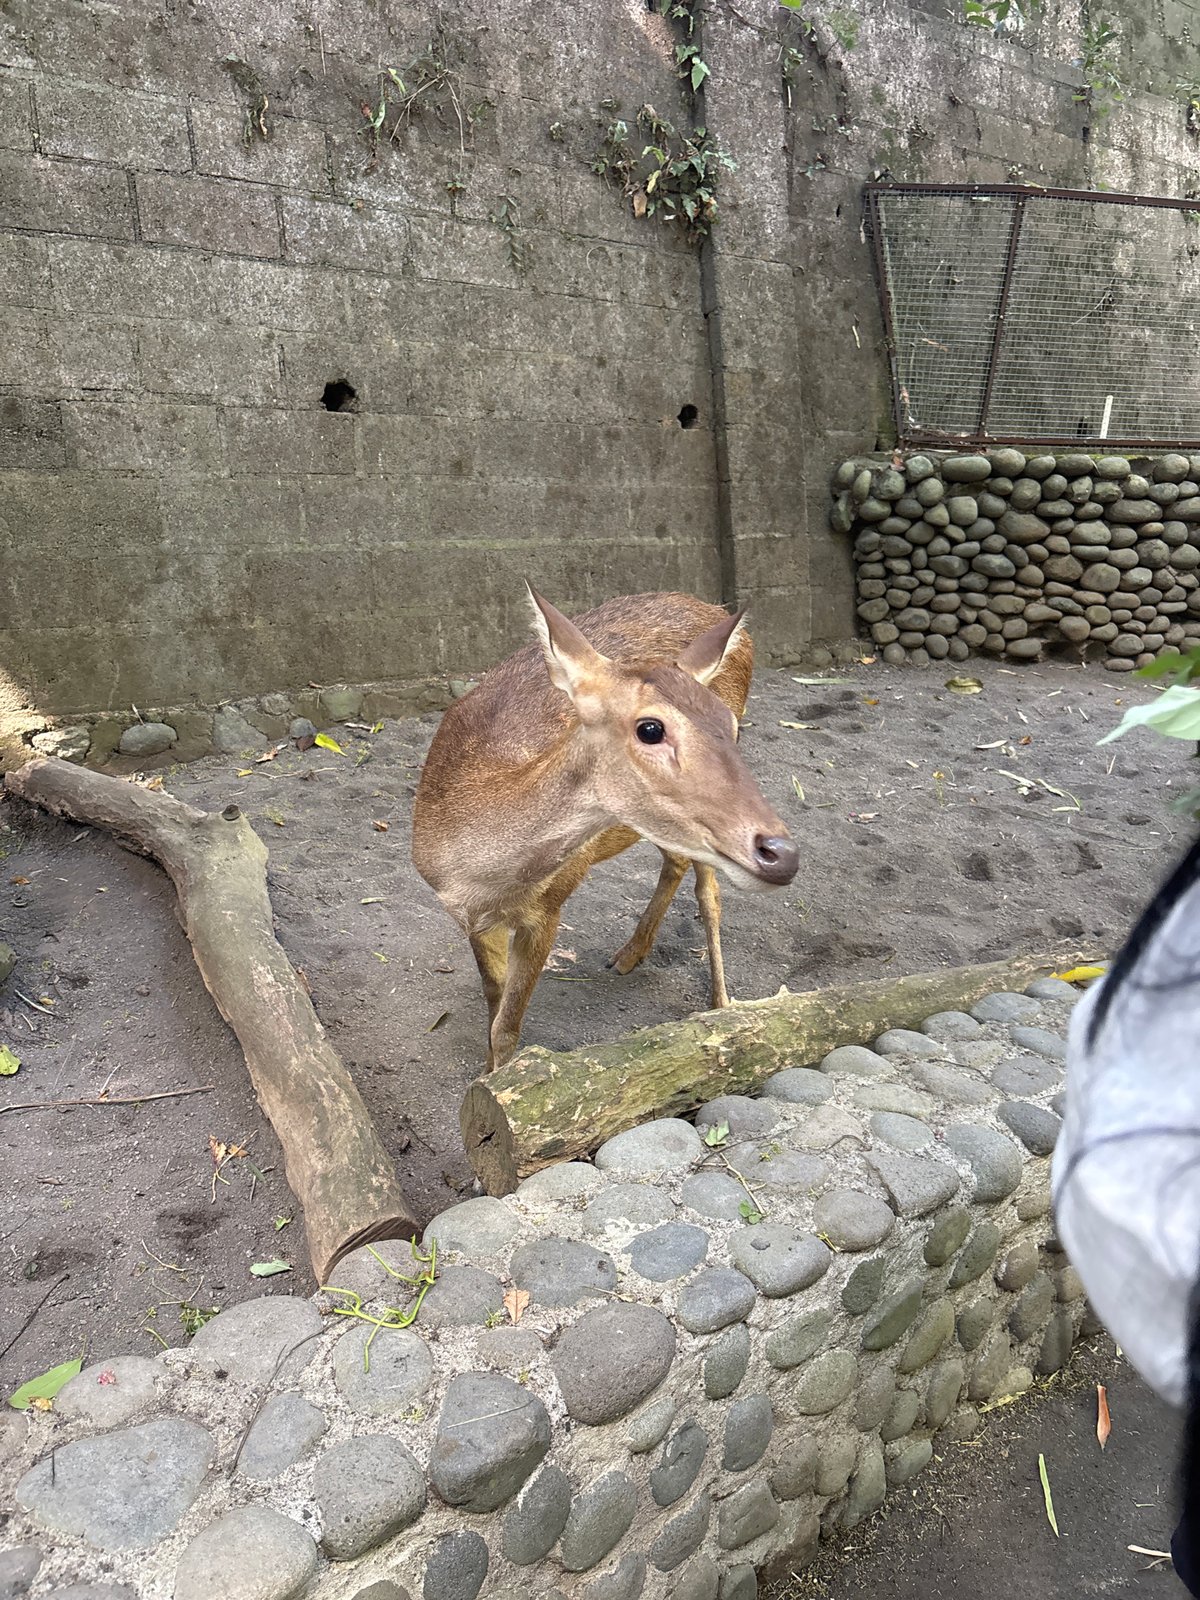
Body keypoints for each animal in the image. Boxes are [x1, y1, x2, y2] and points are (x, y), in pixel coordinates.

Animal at [411, 588, 800, 1071]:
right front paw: (485, 1075)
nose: (782, 853)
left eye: (729, 726)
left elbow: (507, 1028)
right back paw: (630, 955)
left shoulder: (550, 906)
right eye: (650, 728)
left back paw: (720, 1003)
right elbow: (493, 1004)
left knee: (709, 895)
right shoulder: (469, 916)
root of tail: (716, 612)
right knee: (675, 860)